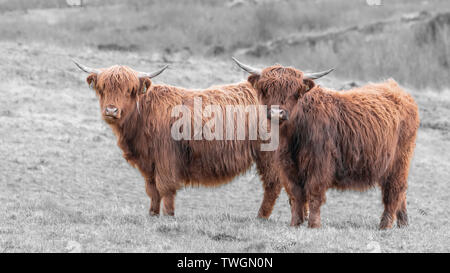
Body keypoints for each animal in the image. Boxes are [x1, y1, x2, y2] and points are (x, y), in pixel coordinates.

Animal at [74, 60, 284, 218]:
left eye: (130, 90)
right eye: (102, 88)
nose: (111, 110)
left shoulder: (166, 158)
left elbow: (165, 187)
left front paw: (168, 216)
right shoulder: (149, 163)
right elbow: (152, 189)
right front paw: (152, 214)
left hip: (268, 154)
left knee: (272, 184)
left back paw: (261, 216)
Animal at [234, 57, 420, 227]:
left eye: (294, 92)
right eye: (265, 89)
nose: (276, 112)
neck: (292, 137)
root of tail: (397, 89)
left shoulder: (320, 164)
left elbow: (314, 194)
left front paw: (313, 225)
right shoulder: (287, 166)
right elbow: (296, 195)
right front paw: (296, 223)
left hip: (399, 160)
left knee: (394, 190)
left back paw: (385, 225)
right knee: (400, 191)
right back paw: (403, 222)